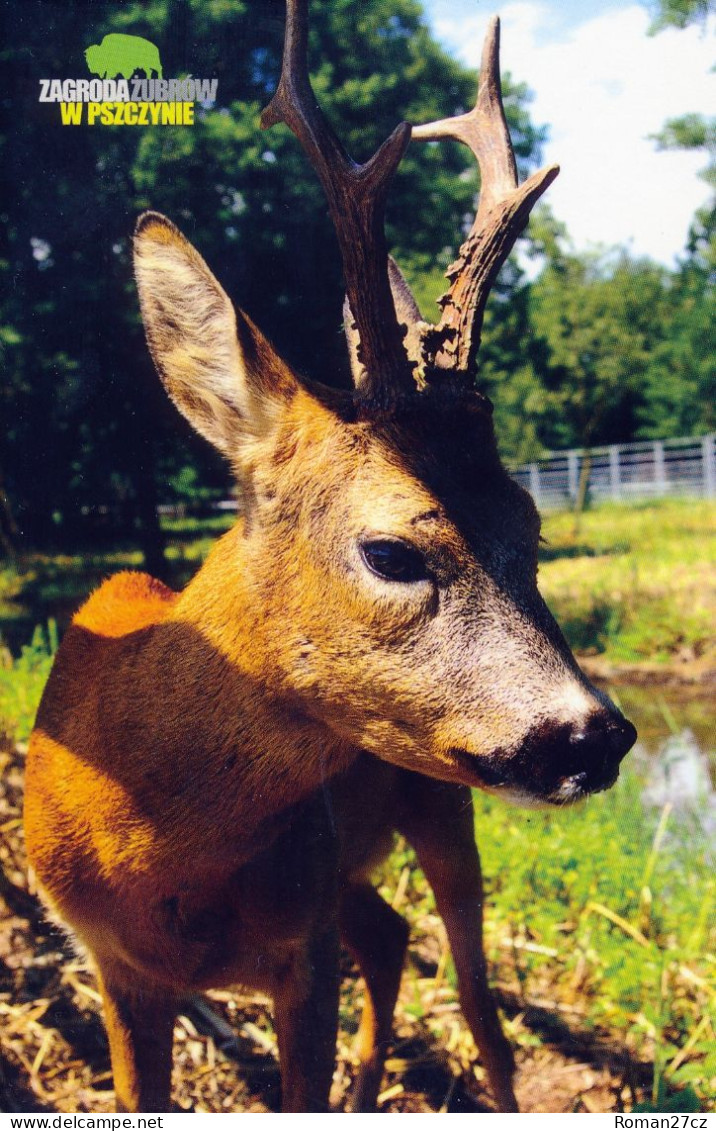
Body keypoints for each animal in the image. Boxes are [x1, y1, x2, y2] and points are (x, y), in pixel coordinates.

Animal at [23, 0, 637, 1112]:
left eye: (529, 526)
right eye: (391, 548)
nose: (593, 734)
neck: (151, 845)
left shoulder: (298, 953)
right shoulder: (111, 963)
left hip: (442, 808)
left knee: (476, 997)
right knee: (390, 938)